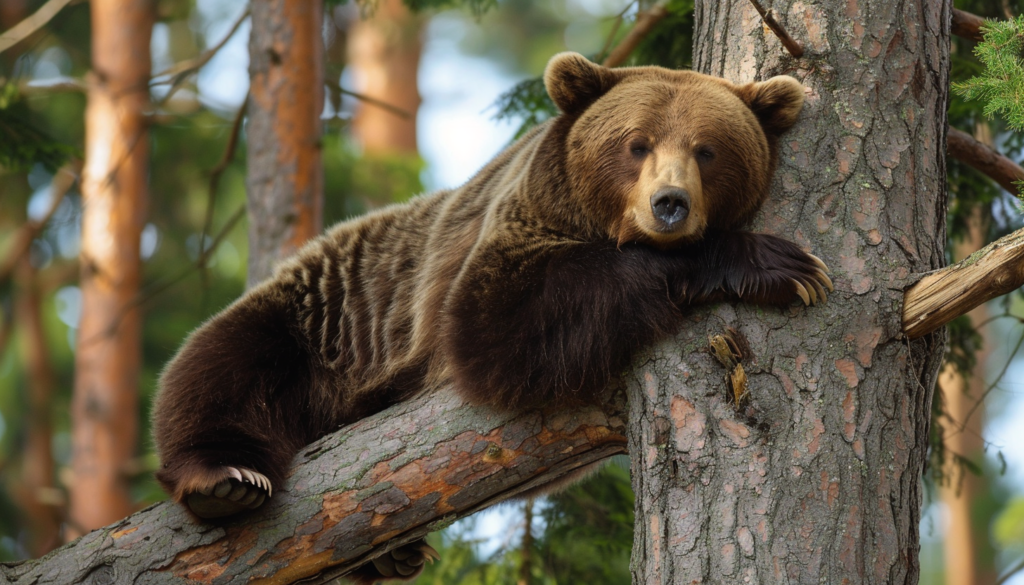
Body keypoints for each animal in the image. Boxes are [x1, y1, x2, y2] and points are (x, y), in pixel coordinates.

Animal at [151, 52, 831, 581]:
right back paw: (226, 480)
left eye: (707, 150)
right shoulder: (508, 232)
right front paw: (779, 264)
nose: (670, 204)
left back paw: (390, 555)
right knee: (222, 364)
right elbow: (499, 328)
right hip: (331, 314)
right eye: (636, 143)